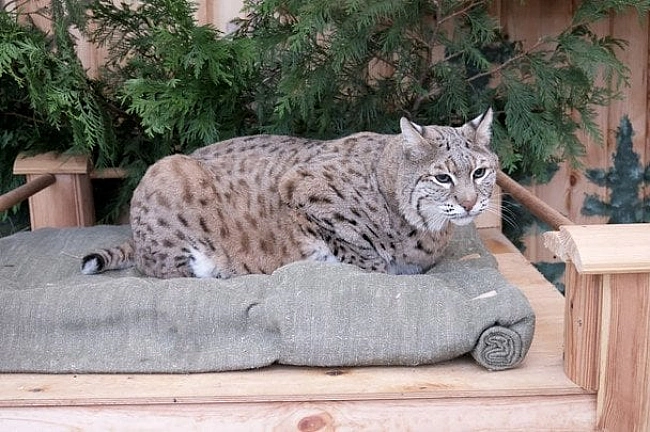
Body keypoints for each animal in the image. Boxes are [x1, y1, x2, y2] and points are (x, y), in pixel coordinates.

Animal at [81, 109, 498, 279]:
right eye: (442, 178)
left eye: (479, 173)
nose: (468, 203)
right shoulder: (300, 185)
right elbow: (356, 247)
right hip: (168, 168)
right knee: (156, 267)